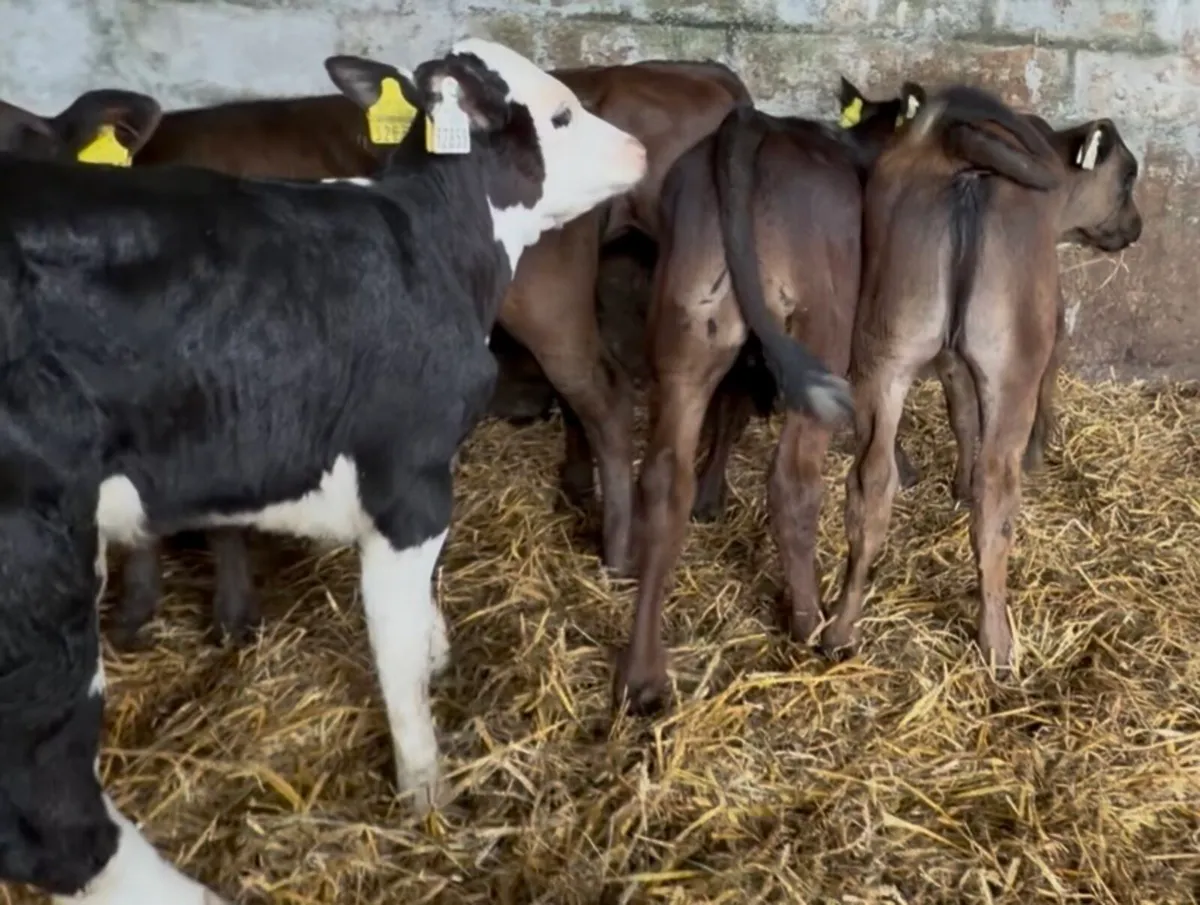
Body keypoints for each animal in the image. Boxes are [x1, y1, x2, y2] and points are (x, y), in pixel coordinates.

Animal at [0, 38, 652, 903]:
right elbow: (397, 658)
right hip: (34, 580)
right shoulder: (408, 481)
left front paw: (440, 651)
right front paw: (428, 795)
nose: (640, 149)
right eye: (562, 115)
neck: (435, 247)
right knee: (53, 815)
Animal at [611, 84, 917, 714]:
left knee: (663, 478)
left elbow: (728, 414)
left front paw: (711, 497)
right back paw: (808, 620)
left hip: (687, 326)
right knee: (793, 481)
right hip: (819, 326)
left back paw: (642, 676)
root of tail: (750, 128)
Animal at [819, 85, 1142, 673]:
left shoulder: (947, 358)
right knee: (997, 496)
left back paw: (841, 626)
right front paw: (1038, 451)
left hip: (884, 351)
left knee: (870, 484)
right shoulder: (1048, 321)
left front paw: (958, 483)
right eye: (1128, 176)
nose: (1135, 227)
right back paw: (997, 643)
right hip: (1010, 364)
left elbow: (961, 413)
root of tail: (961, 149)